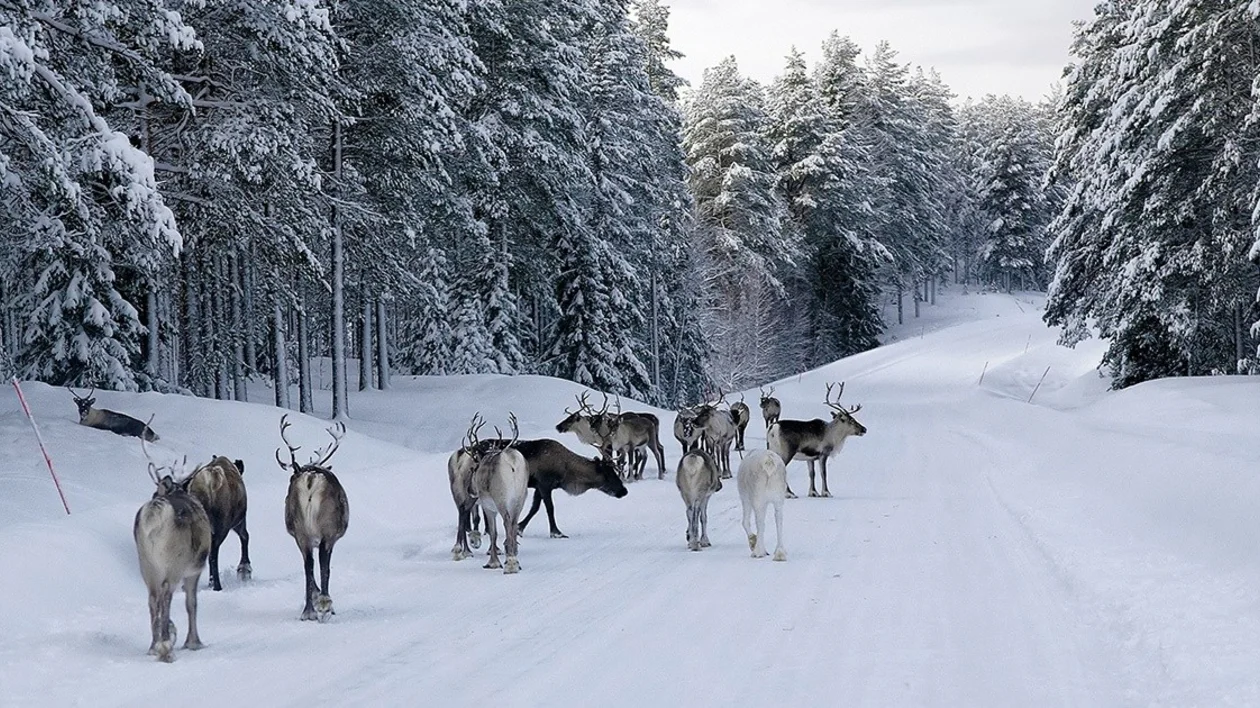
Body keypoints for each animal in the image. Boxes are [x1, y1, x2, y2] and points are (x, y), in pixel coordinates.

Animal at [133, 434, 211, 662]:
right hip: (174, 562)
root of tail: (153, 515)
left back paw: (153, 645)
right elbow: (192, 603)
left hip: (146, 564)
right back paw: (166, 646)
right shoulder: (194, 570)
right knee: (166, 595)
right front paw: (194, 642)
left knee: (152, 598)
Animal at [184, 456, 251, 591]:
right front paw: (245, 570)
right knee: (213, 554)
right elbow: (245, 537)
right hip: (221, 526)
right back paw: (217, 585)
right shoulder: (239, 521)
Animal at [277, 414, 350, 621]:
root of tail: (310, 479)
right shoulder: (331, 537)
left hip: (301, 531)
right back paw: (324, 606)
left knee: (308, 566)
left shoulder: (302, 537)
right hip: (326, 528)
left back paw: (307, 610)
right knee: (322, 565)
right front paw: (326, 604)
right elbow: (326, 568)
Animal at [465, 413, 529, 574]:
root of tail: (512, 461)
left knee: (507, 522)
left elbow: (493, 533)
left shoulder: (488, 506)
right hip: (521, 498)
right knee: (514, 524)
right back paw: (514, 559)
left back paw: (510, 564)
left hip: (501, 498)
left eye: (473, 469)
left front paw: (493, 562)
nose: (469, 490)